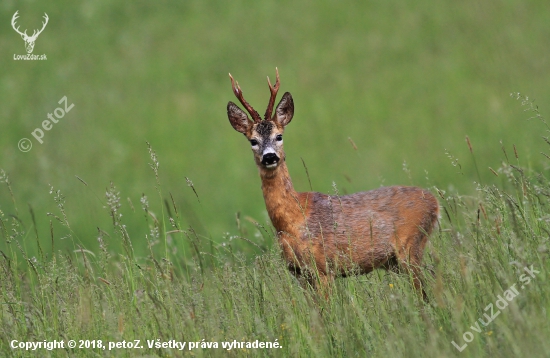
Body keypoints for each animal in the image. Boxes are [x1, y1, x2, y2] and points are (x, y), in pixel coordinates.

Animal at [227, 69, 440, 300]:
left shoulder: (323, 268)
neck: (292, 220)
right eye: (253, 141)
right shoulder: (300, 273)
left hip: (411, 246)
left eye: (279, 136)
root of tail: (435, 202)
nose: (269, 157)